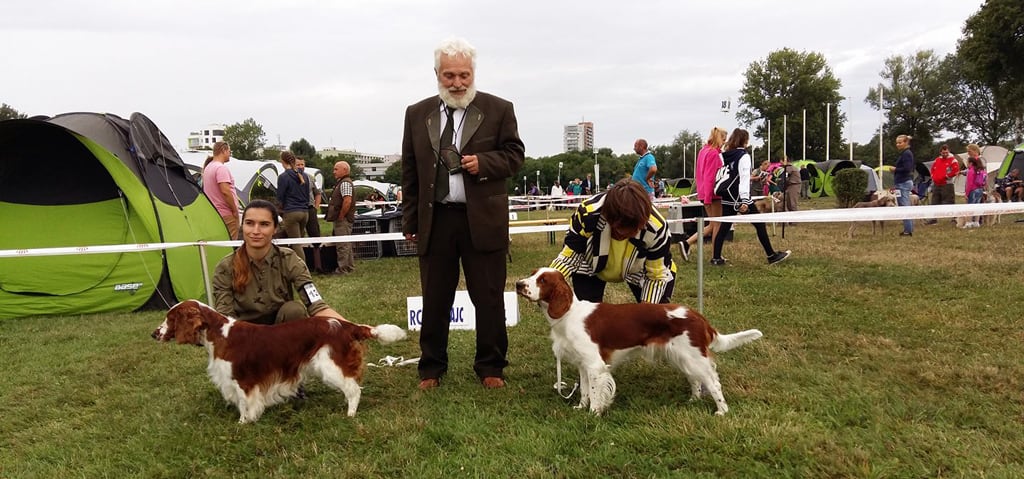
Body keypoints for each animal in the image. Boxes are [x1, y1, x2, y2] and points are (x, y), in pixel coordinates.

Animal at [152, 298, 407, 423]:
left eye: (170, 318)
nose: (154, 334)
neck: (219, 334)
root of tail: (347, 325)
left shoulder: (242, 380)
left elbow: (245, 404)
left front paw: (244, 423)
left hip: (329, 365)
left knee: (353, 390)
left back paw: (350, 414)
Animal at [520, 270, 761, 415]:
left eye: (542, 280)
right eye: (532, 274)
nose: (518, 283)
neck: (569, 314)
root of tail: (698, 316)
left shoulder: (595, 365)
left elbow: (596, 393)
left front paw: (594, 414)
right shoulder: (583, 364)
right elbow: (585, 390)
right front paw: (580, 408)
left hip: (693, 356)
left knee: (713, 383)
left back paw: (721, 411)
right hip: (681, 356)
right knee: (695, 379)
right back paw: (693, 401)